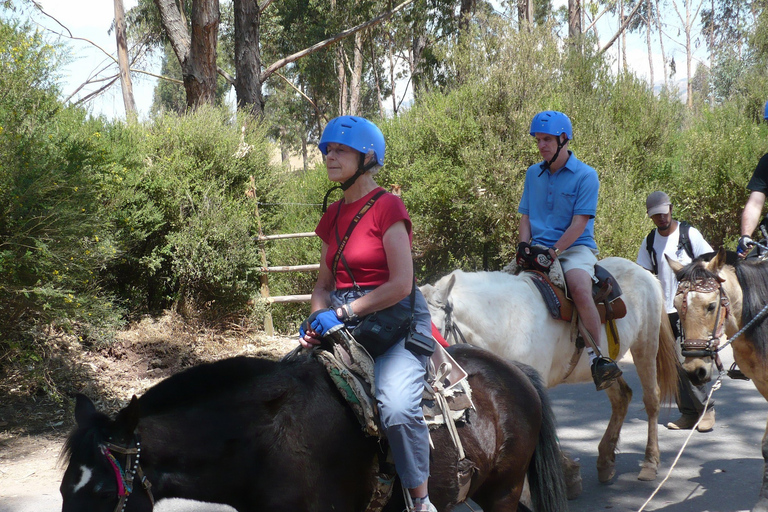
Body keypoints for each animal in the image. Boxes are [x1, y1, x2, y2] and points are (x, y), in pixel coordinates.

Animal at [420, 256, 680, 484]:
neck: (506, 319)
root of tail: (645, 274)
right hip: (609, 367)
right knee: (621, 398)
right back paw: (605, 461)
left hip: (646, 345)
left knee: (651, 399)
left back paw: (650, 462)